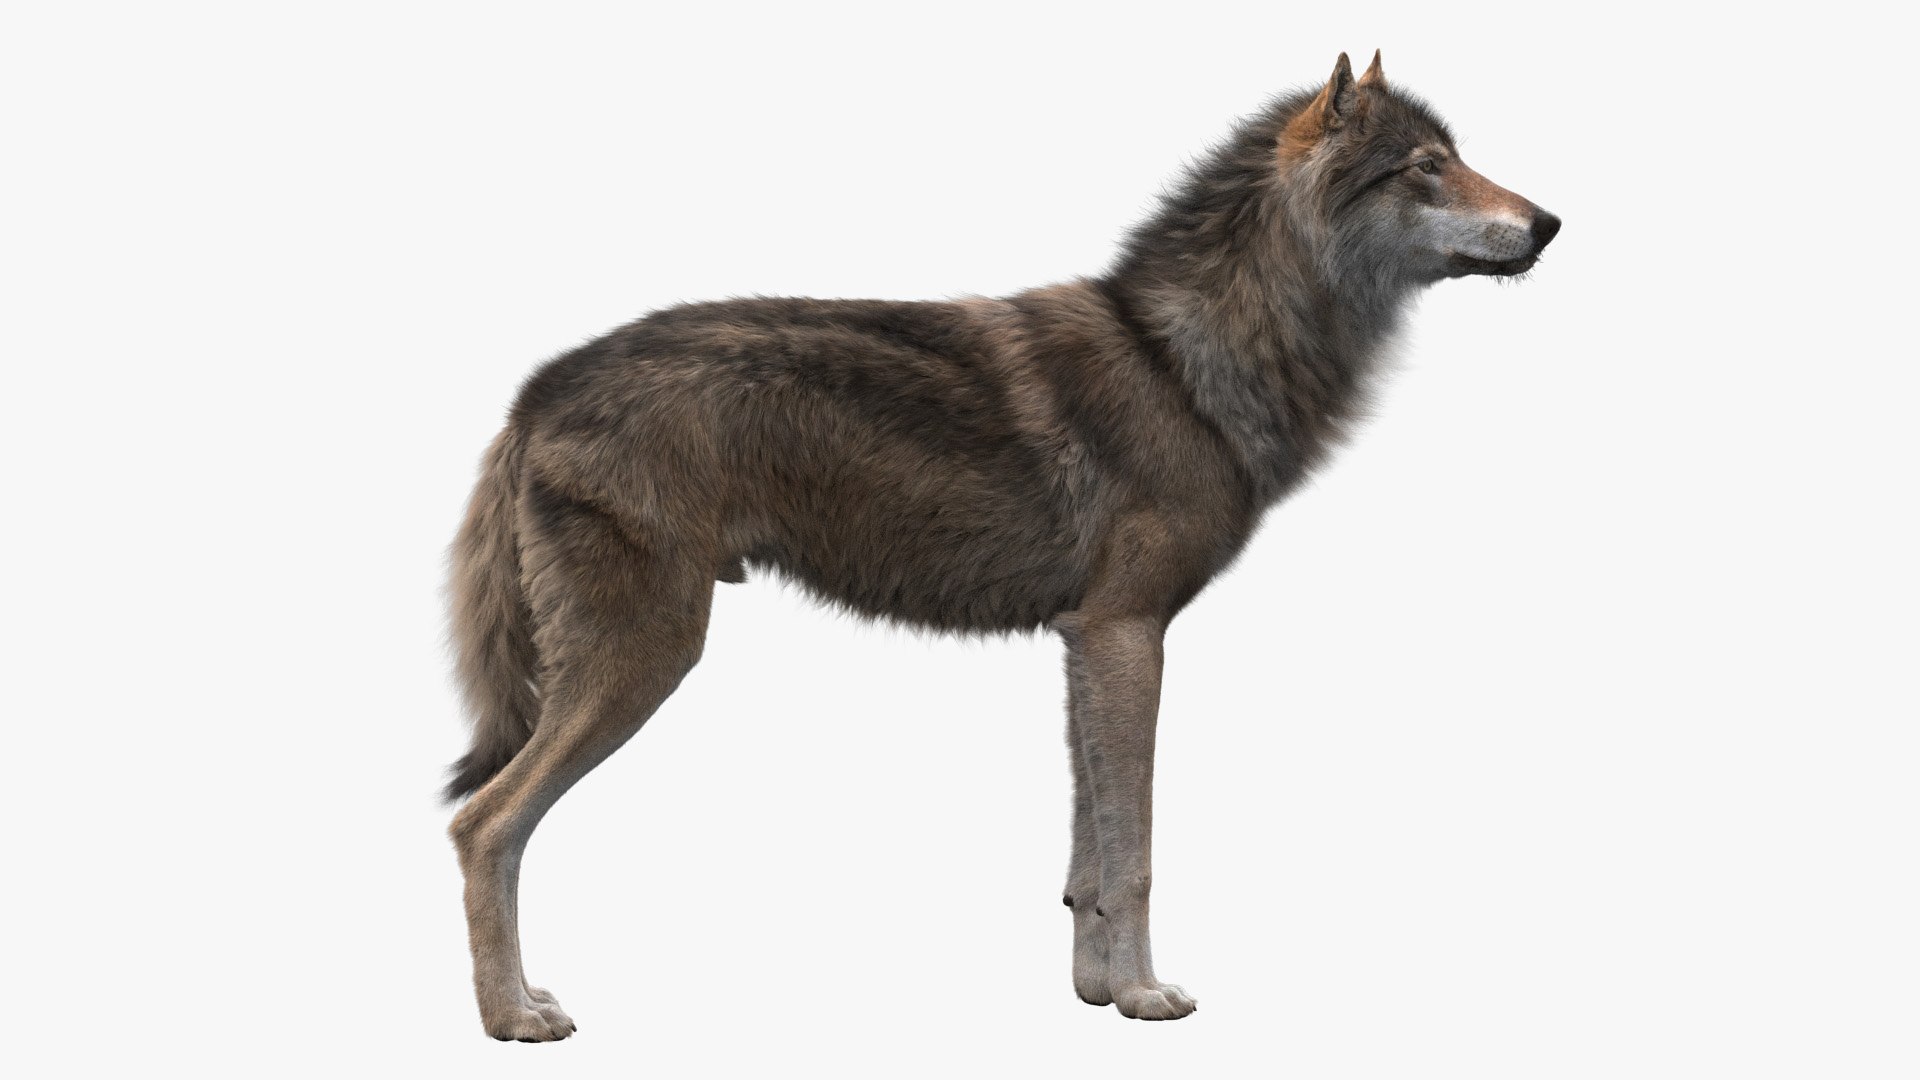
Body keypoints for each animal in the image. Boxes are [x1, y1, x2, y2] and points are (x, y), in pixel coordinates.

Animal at [443, 51, 1559, 1039]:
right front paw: (1148, 998)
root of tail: (534, 391)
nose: (1551, 223)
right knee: (484, 824)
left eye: (1454, 157)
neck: (1183, 363)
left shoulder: (1087, 643)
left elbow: (1086, 860)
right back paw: (512, 1019)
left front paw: (1097, 994)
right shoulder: (1128, 634)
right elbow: (1134, 852)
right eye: (1426, 166)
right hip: (647, 661)